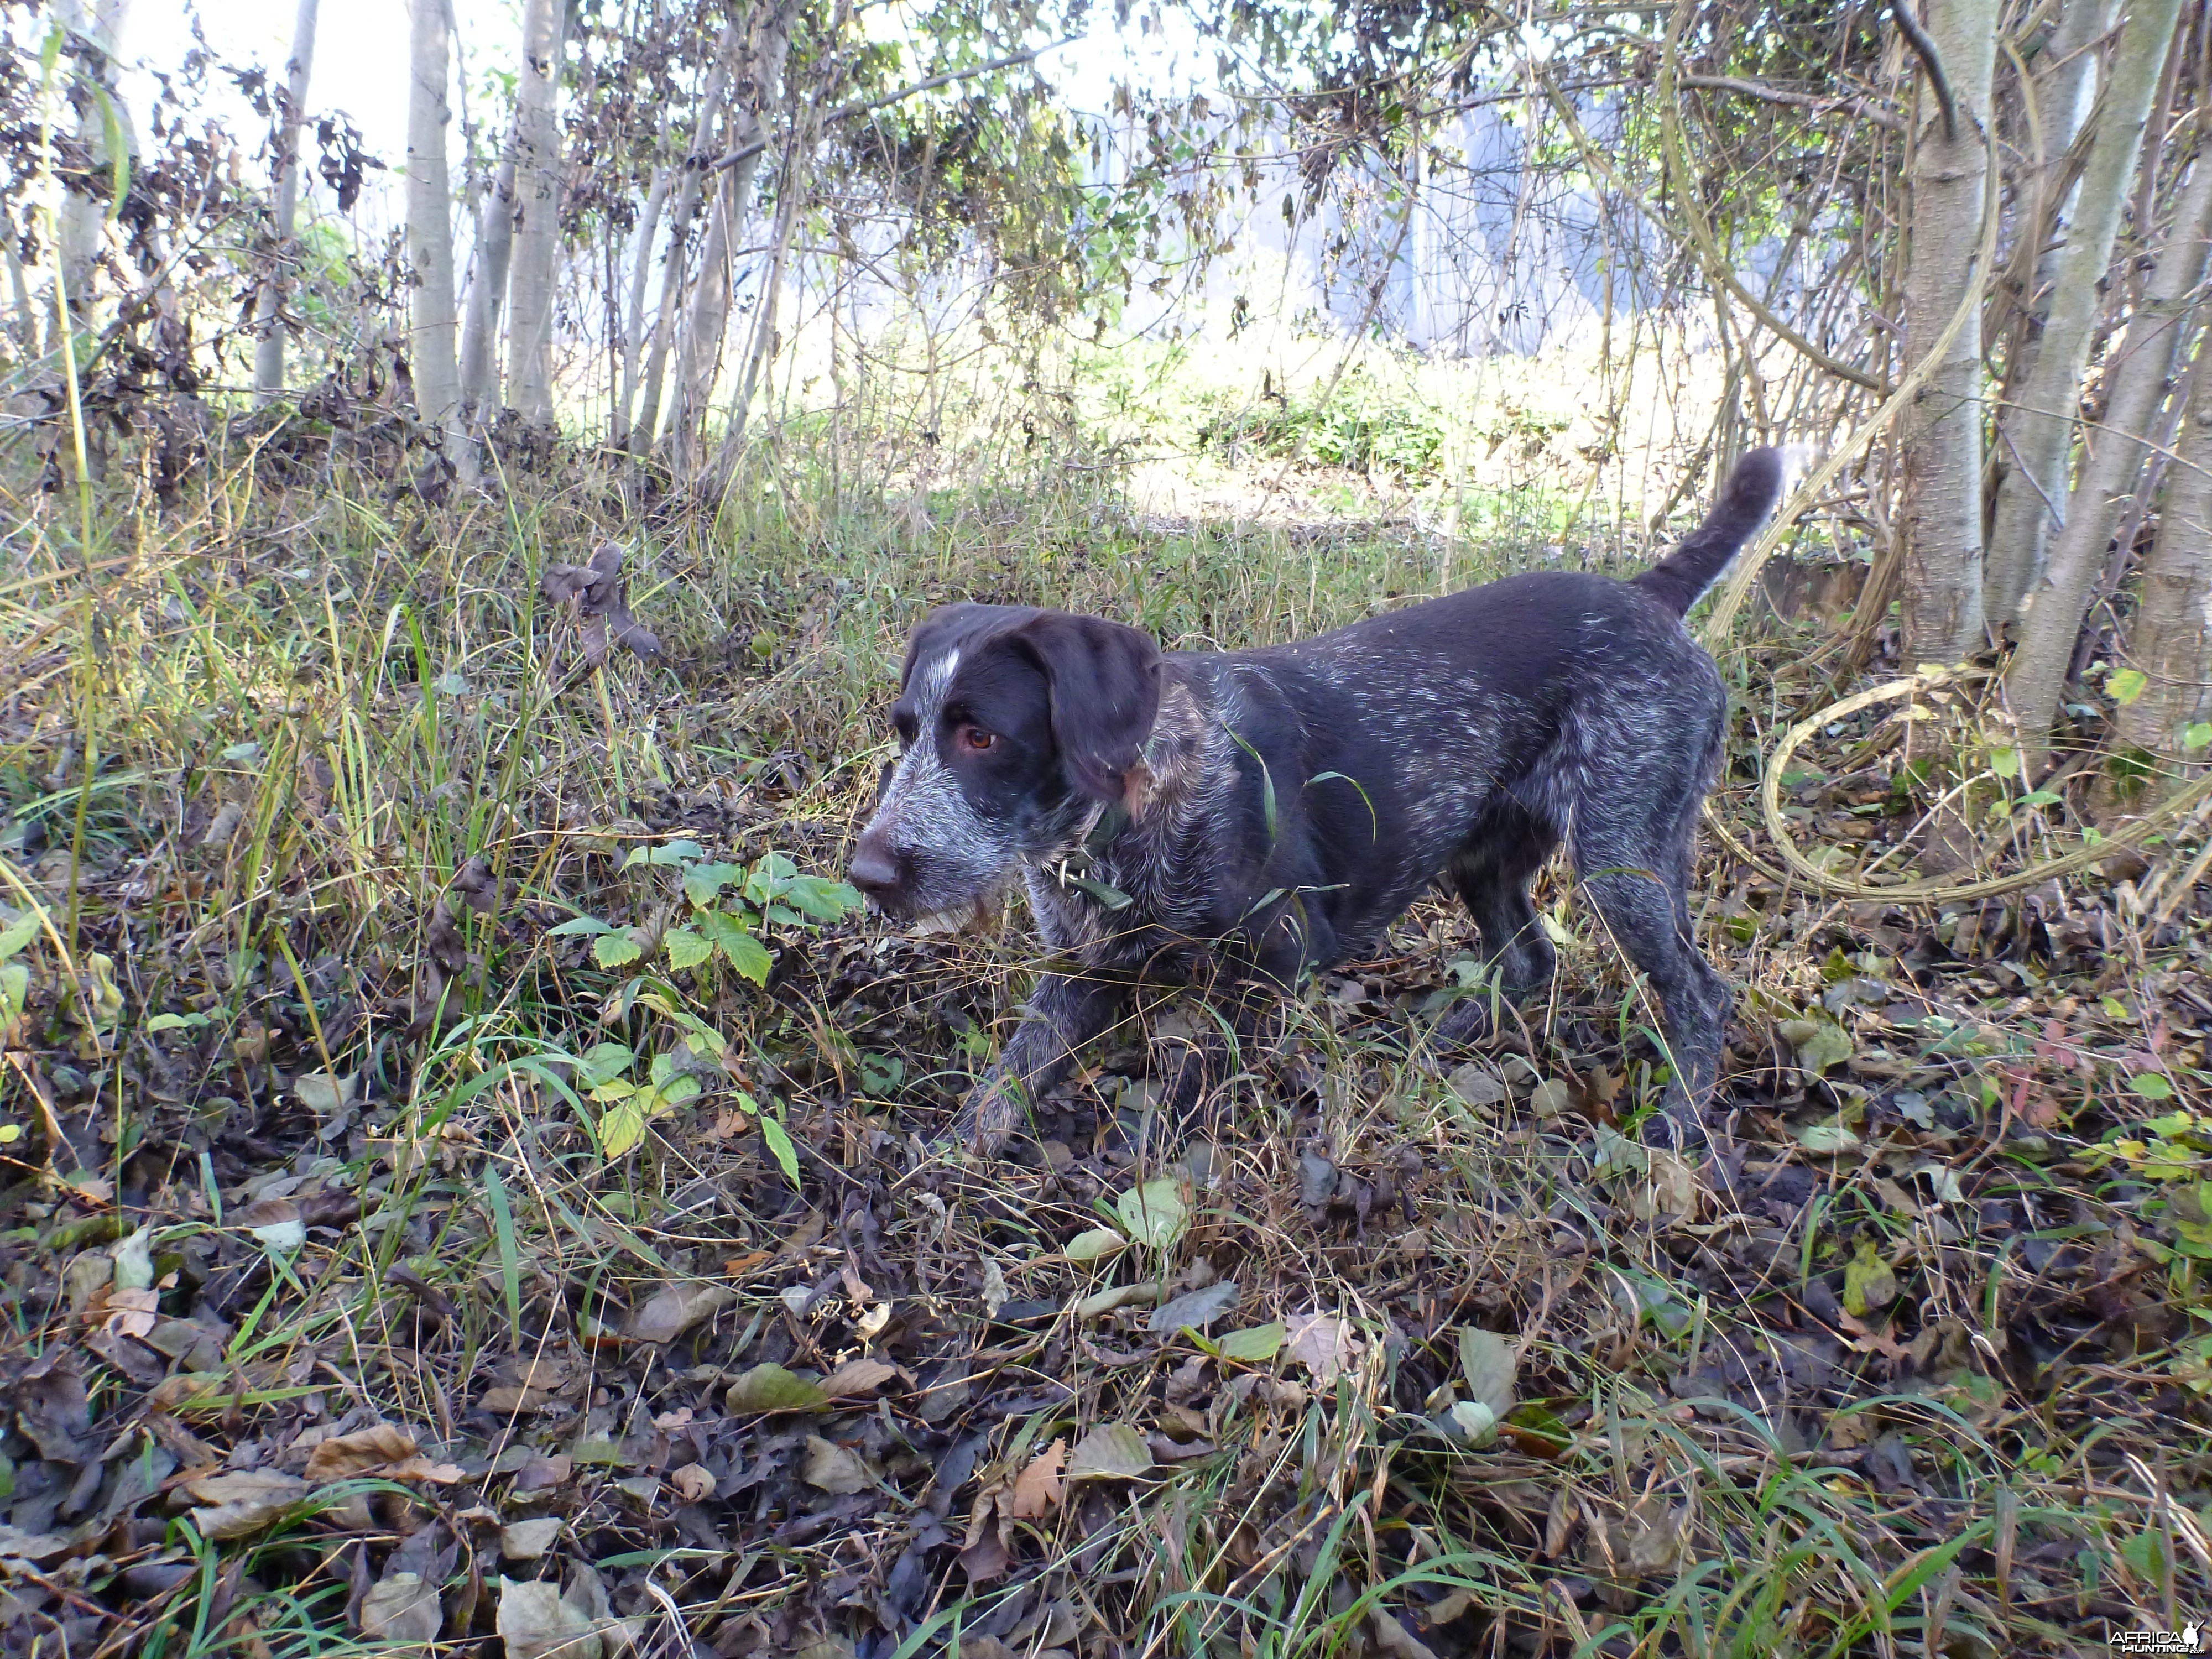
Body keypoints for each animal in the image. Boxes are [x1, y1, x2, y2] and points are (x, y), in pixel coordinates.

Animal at [845, 451, 1778, 1159]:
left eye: (981, 737)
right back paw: (1445, 1038)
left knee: (1701, 994)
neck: (1129, 819)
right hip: (1486, 854)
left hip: (1625, 857)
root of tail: (1649, 598)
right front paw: (948, 1163)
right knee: (1528, 957)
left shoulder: (1278, 965)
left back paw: (1680, 1128)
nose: (867, 874)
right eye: (905, 731)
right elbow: (1006, 1078)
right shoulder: (1082, 970)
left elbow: (1191, 1085)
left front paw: (1149, 1173)